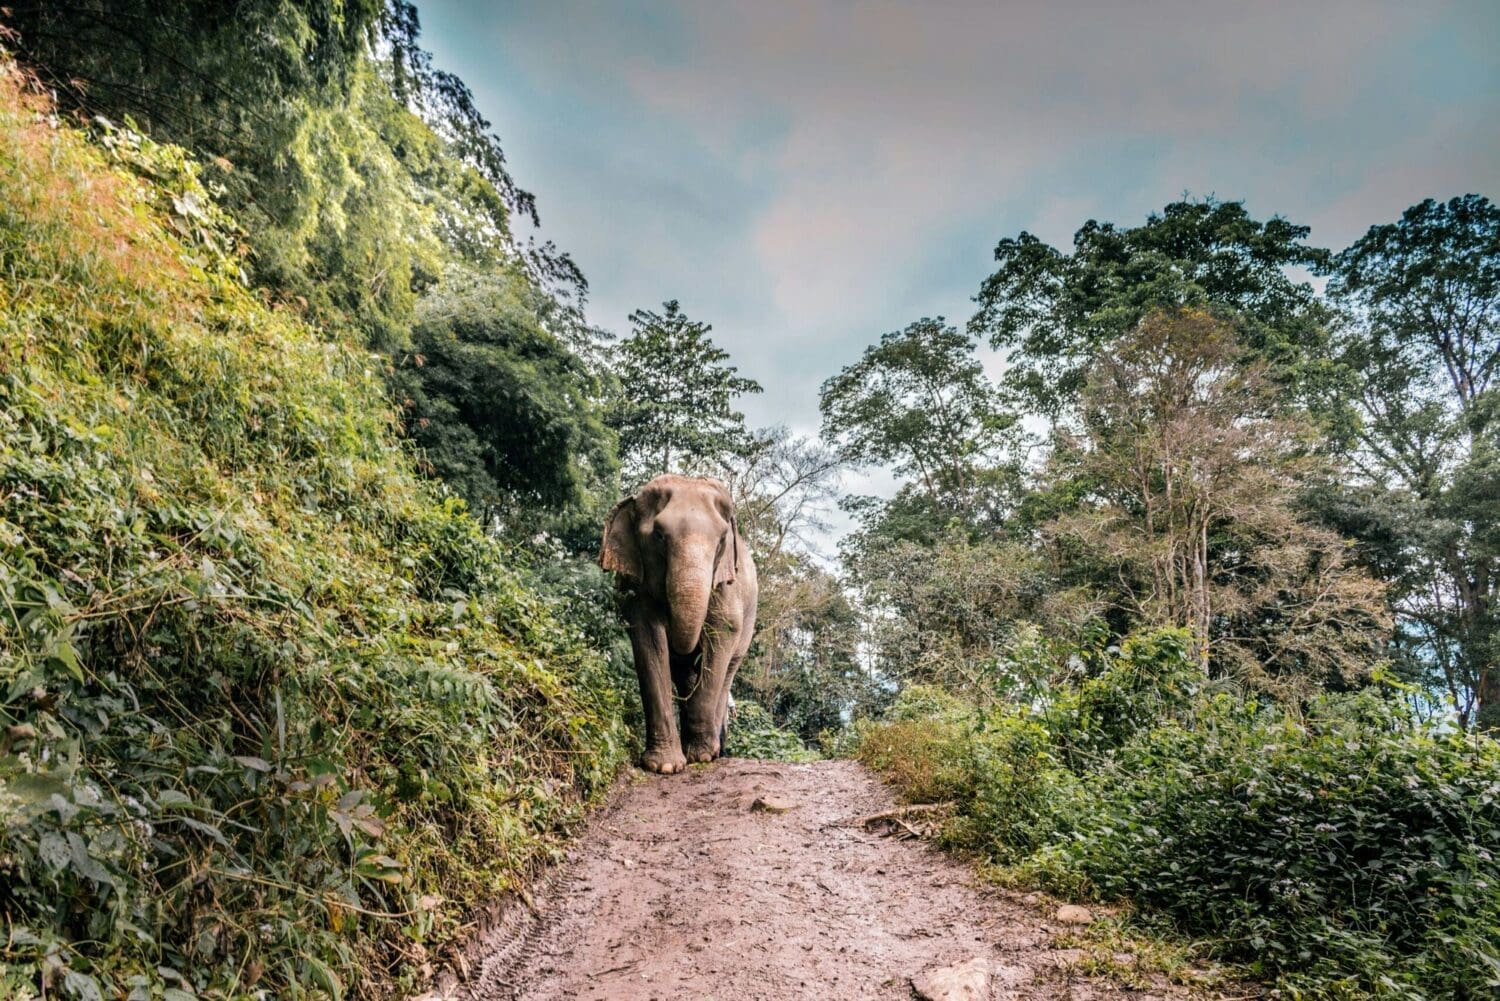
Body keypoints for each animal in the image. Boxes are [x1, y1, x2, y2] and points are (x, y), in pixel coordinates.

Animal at [600, 477, 756, 774]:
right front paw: (664, 766)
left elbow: (722, 633)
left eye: (721, 541)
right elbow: (648, 638)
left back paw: (713, 750)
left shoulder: (726, 586)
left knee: (727, 670)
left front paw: (702, 756)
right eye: (659, 536)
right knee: (685, 675)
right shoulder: (638, 587)